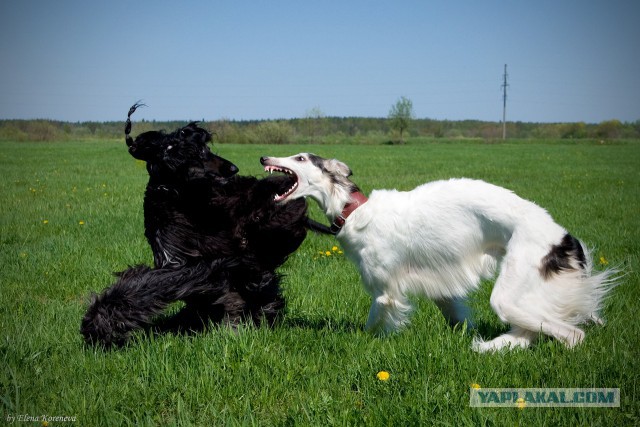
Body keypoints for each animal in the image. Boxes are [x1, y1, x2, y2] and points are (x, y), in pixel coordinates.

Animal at [80, 103, 328, 348]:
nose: (233, 169)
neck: (181, 197)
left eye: (206, 147)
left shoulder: (201, 265)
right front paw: (100, 325)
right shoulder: (180, 262)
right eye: (197, 151)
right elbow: (145, 285)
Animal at [258, 155, 616, 352]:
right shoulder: (441, 287)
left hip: (510, 293)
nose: (263, 158)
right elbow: (457, 314)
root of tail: (564, 238)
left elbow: (372, 325)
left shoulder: (385, 291)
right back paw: (490, 347)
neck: (355, 212)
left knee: (573, 334)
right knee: (532, 332)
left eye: (301, 158)